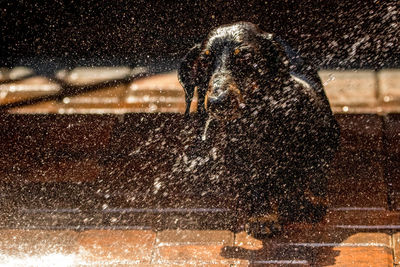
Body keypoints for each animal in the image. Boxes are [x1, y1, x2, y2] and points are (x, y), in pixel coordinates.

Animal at [180, 22, 340, 237]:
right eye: (204, 62)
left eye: (245, 58)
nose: (217, 101)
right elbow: (254, 183)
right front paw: (262, 217)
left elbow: (314, 171)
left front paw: (310, 200)